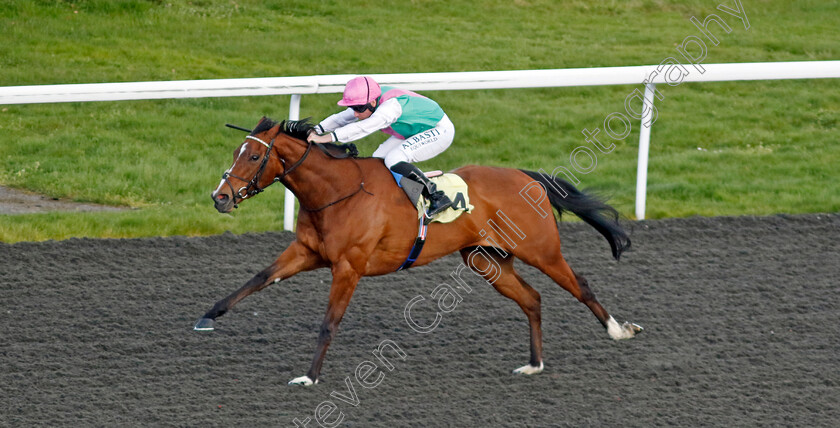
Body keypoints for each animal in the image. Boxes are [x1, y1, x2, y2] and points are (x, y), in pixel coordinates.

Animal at [197, 116, 644, 384]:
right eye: (236, 152)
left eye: (255, 155)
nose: (220, 197)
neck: (336, 191)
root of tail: (526, 177)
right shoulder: (307, 252)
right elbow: (257, 279)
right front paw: (207, 317)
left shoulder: (348, 267)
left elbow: (329, 323)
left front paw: (310, 376)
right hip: (488, 260)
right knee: (532, 299)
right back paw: (533, 364)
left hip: (542, 250)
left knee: (579, 284)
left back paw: (619, 329)